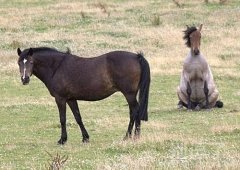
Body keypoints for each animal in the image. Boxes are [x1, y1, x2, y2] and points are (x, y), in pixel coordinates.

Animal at [16, 47, 150, 144]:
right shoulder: (71, 99)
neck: (56, 67)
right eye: (19, 63)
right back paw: (135, 136)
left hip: (129, 94)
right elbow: (78, 117)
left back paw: (129, 136)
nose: (25, 79)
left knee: (135, 111)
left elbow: (62, 119)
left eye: (31, 62)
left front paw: (62, 140)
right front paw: (85, 138)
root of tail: (136, 56)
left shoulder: (60, 99)